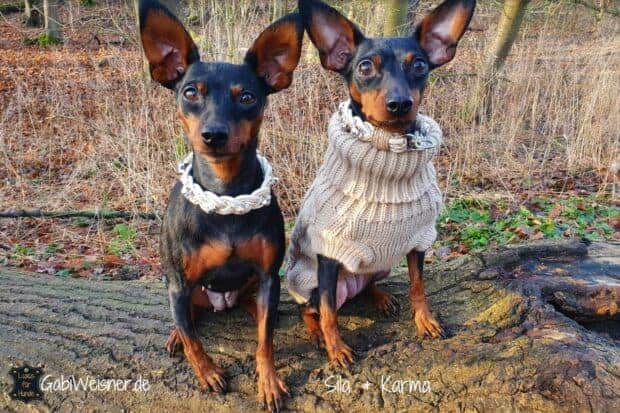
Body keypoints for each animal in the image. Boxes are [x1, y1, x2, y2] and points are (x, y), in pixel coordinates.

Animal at [140, 0, 302, 408]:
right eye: (190, 93)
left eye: (247, 97)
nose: (214, 134)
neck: (225, 195)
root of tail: (222, 301)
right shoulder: (179, 283)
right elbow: (195, 341)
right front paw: (208, 373)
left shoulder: (267, 278)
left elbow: (265, 340)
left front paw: (269, 381)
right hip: (188, 293)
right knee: (187, 322)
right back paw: (175, 336)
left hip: (254, 289)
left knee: (259, 314)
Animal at [286, 0, 474, 366]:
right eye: (365, 67)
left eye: (419, 65)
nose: (400, 103)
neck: (388, 157)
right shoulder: (328, 253)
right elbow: (329, 313)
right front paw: (336, 349)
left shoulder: (419, 240)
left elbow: (418, 286)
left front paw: (425, 321)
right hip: (313, 283)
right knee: (312, 309)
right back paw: (316, 334)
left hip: (379, 265)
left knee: (367, 286)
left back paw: (379, 296)